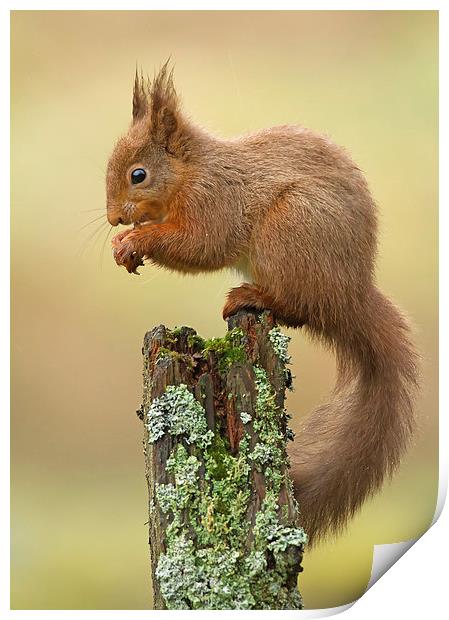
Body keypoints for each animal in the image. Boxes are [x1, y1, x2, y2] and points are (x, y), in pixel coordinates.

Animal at [105, 65, 416, 544]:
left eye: (138, 175)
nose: (113, 218)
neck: (192, 172)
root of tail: (350, 296)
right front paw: (126, 243)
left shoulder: (216, 201)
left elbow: (201, 245)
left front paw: (136, 241)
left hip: (288, 231)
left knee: (299, 307)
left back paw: (251, 296)